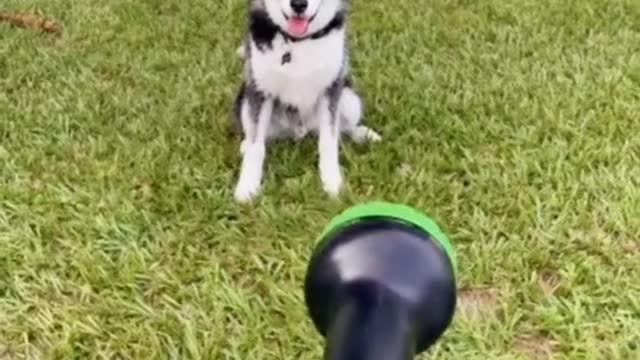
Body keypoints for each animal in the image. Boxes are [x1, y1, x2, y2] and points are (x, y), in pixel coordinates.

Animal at [231, 0, 378, 202]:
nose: (299, 5)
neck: (297, 42)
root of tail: (299, 132)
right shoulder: (259, 90)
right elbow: (256, 147)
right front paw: (247, 188)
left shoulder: (331, 89)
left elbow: (328, 141)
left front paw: (332, 183)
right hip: (244, 100)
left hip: (349, 98)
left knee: (344, 128)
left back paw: (362, 134)